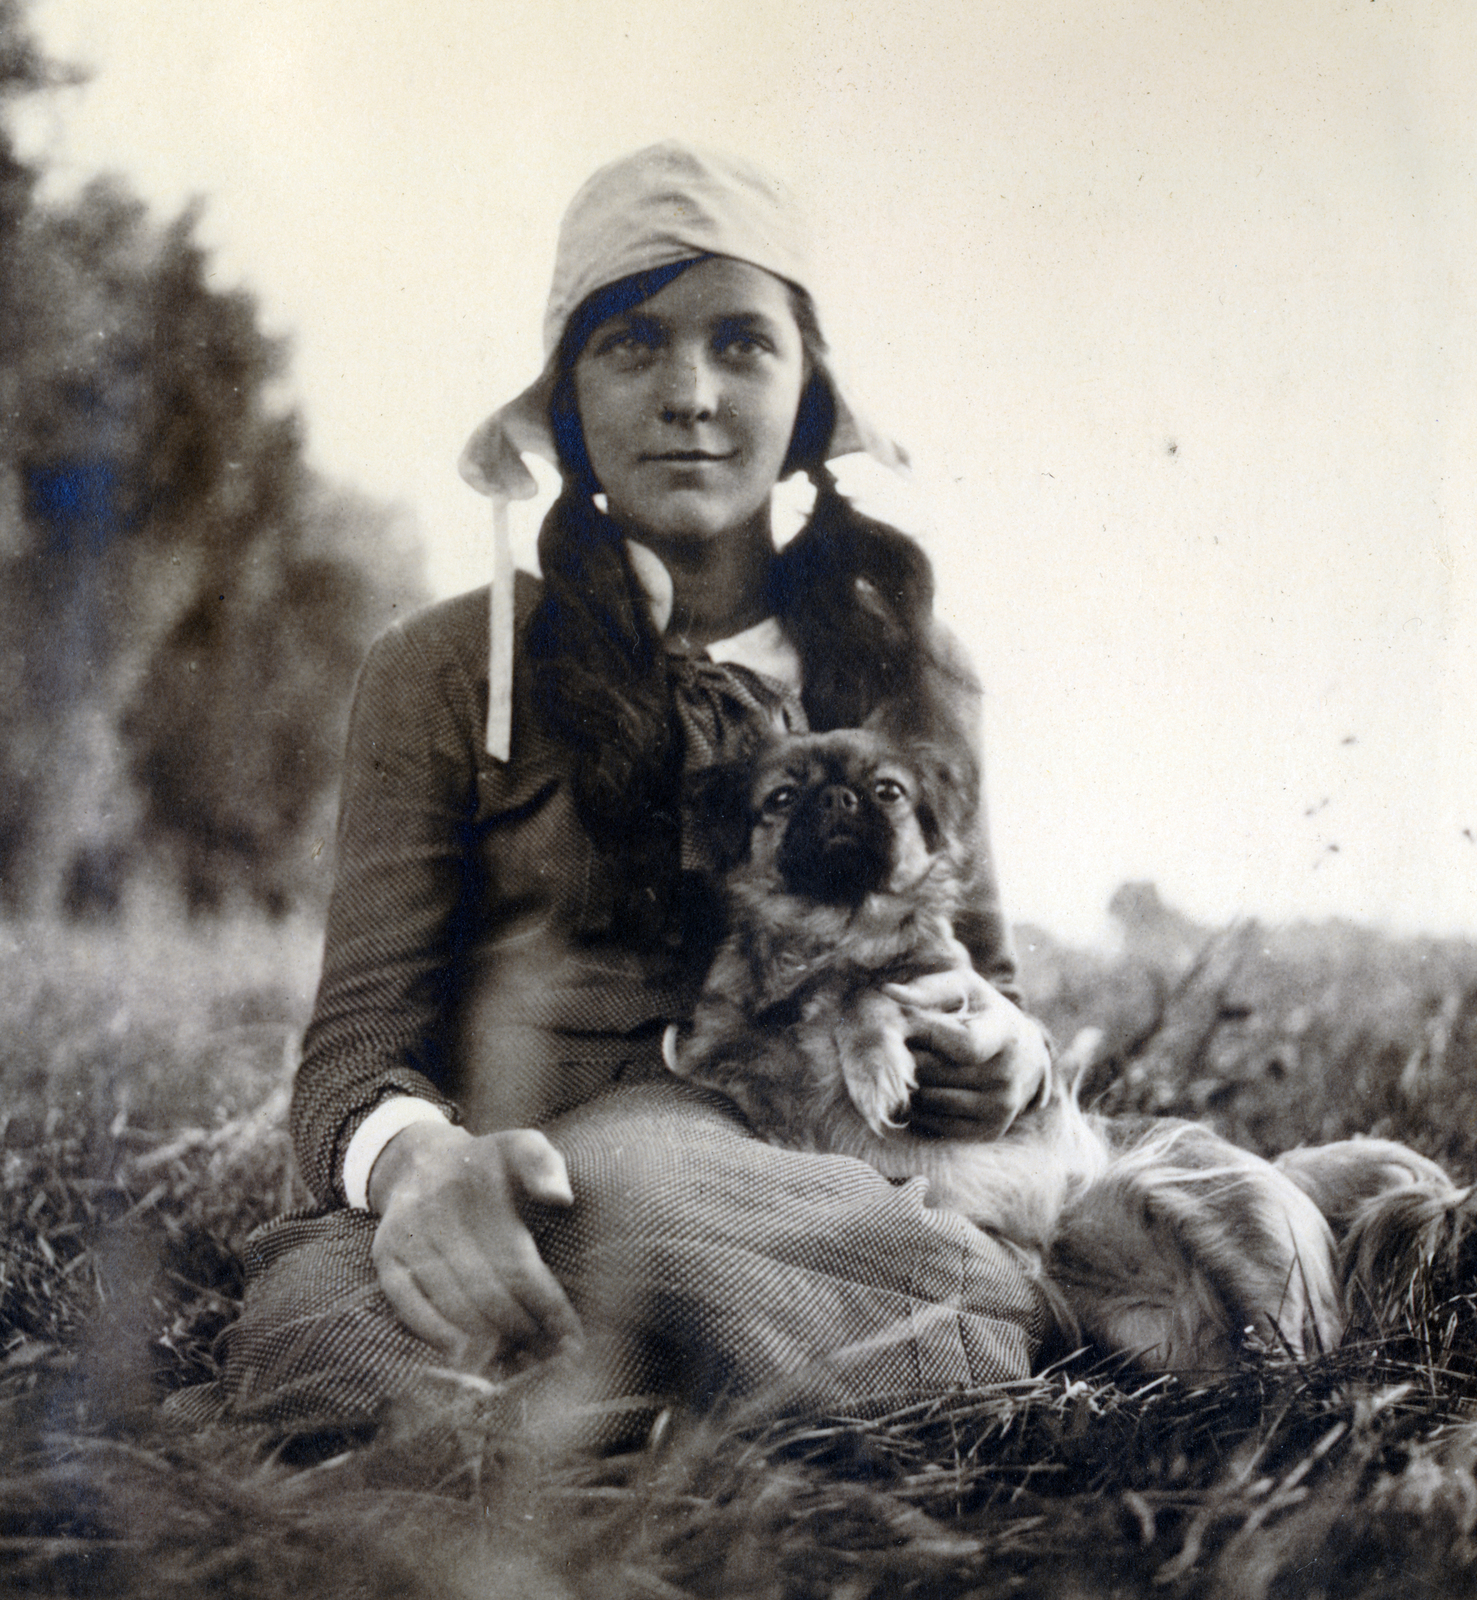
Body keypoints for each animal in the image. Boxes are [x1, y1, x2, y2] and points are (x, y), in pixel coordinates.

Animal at [668, 732, 1465, 1369]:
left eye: (887, 791)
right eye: (781, 798)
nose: (838, 797)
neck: (825, 937)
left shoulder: (943, 992)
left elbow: (868, 994)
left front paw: (872, 1066)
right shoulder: (744, 1031)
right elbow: (733, 1042)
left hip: (1226, 1222)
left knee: (1302, 1356)